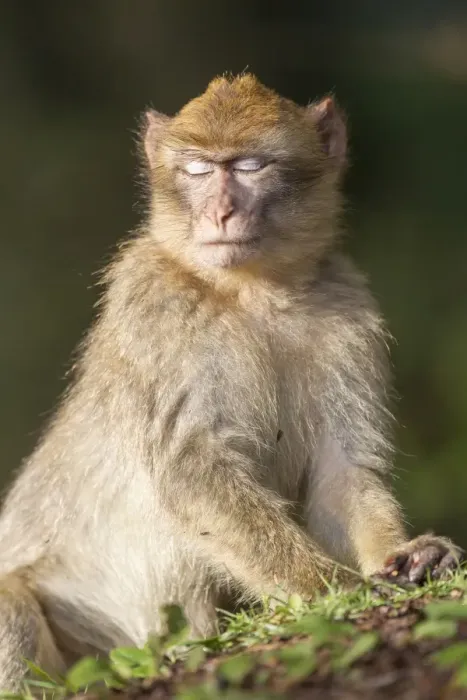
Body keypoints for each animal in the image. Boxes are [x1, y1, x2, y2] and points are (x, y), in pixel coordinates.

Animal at [0, 74, 461, 690]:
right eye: (198, 170)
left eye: (249, 166)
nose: (219, 213)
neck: (253, 291)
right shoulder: (158, 308)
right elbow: (196, 474)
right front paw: (335, 589)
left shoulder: (348, 307)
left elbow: (341, 472)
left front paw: (410, 554)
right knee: (13, 606)